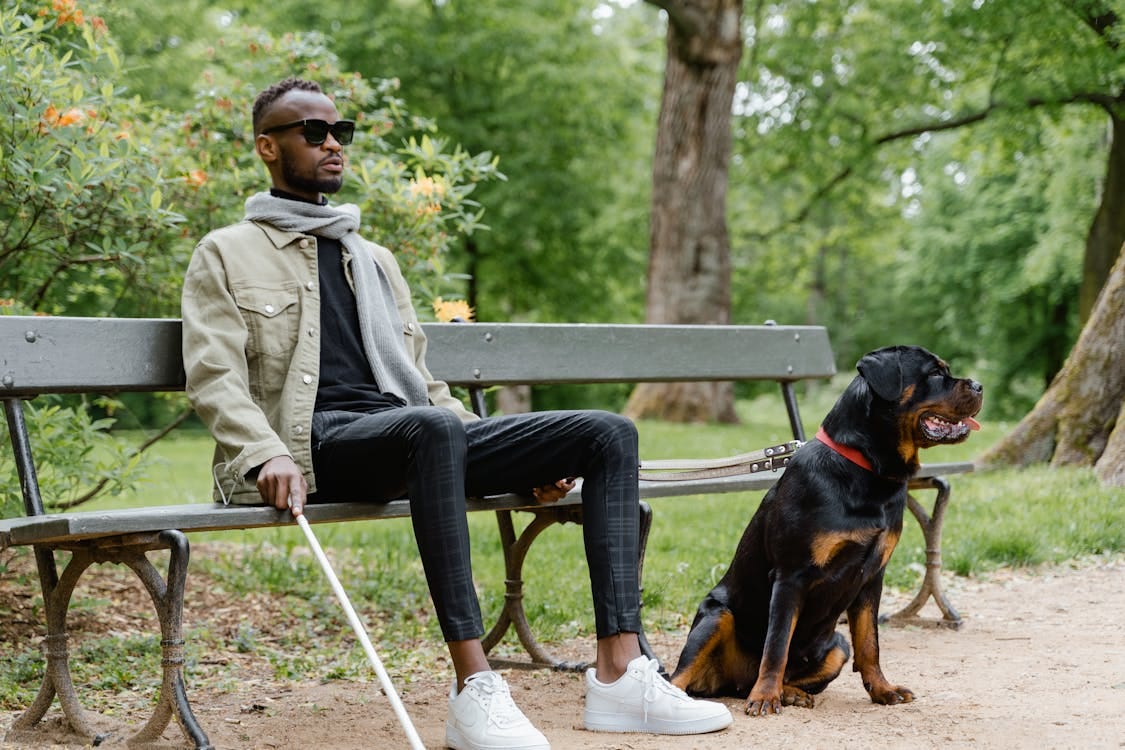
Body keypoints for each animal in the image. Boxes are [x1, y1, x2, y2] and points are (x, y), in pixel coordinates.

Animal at [670, 346, 981, 715]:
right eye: (934, 373)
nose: (979, 385)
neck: (867, 471)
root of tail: (733, 682)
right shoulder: (791, 576)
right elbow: (776, 645)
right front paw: (765, 697)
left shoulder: (872, 577)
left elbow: (870, 643)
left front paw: (882, 689)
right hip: (717, 615)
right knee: (679, 675)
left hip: (836, 646)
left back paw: (789, 692)